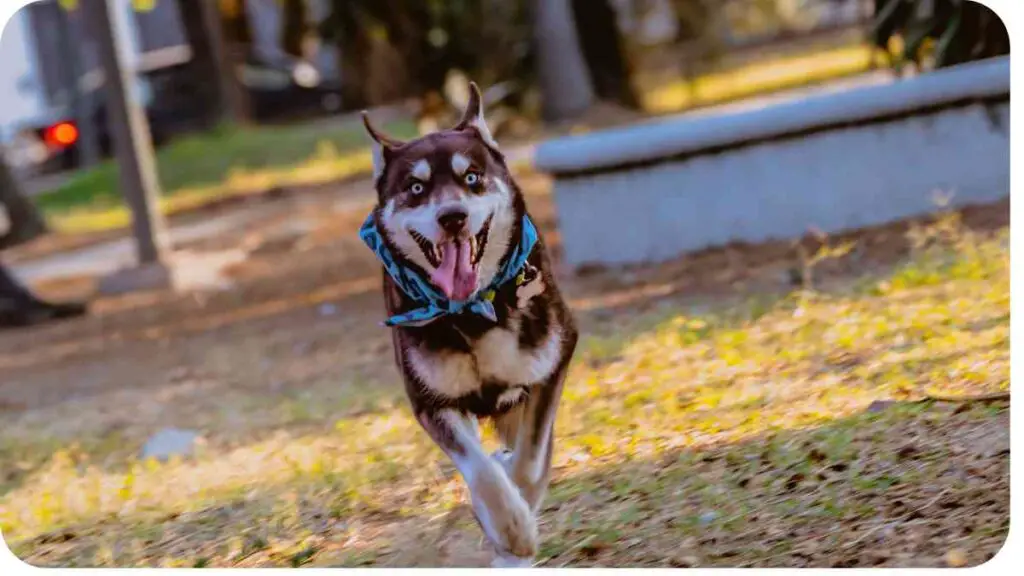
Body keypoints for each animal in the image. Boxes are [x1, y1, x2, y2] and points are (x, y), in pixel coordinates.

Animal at [362, 84, 581, 565]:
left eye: (472, 179)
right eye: (416, 187)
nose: (452, 217)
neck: (472, 312)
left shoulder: (550, 369)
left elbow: (530, 460)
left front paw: (519, 520)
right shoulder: (431, 402)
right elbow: (480, 472)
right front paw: (510, 525)